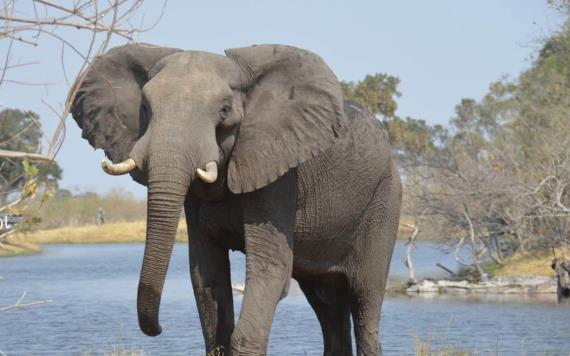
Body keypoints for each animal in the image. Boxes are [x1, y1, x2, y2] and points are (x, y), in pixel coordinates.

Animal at [70, 43, 400, 354]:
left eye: (225, 110)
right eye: (145, 108)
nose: (159, 329)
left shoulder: (278, 172)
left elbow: (271, 270)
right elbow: (206, 275)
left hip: (384, 200)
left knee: (365, 298)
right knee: (326, 301)